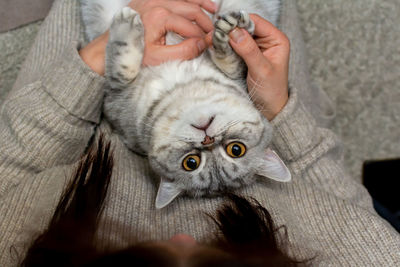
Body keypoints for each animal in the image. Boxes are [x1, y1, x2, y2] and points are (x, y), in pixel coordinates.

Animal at [80, 0, 290, 209]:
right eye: (191, 162)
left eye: (236, 150)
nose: (208, 139)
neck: (184, 87)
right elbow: (231, 59)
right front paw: (232, 28)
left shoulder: (114, 96)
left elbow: (122, 68)